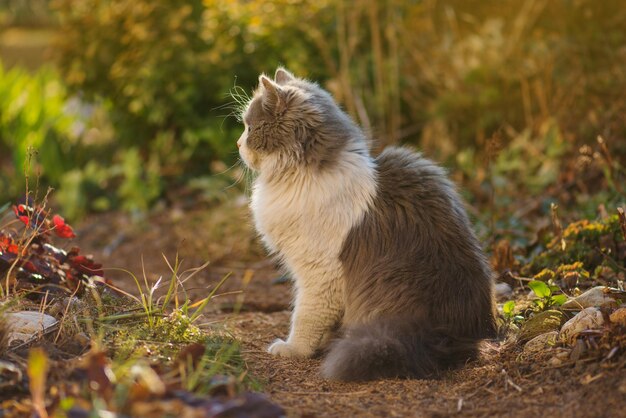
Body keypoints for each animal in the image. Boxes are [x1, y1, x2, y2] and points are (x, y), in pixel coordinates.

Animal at [236, 68, 494, 382]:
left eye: (249, 128)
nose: (237, 144)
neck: (302, 176)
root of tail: (447, 335)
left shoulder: (319, 272)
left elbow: (305, 315)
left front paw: (293, 348)